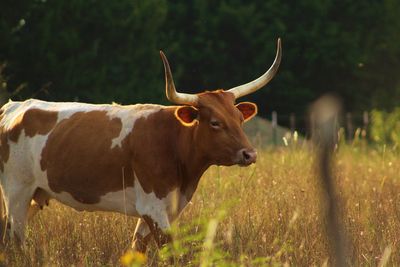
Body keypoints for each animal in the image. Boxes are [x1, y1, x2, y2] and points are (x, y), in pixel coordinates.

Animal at [0, 39, 282, 251]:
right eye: (214, 122)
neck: (172, 142)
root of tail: (14, 106)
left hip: (36, 194)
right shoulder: (153, 208)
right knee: (15, 239)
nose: (249, 154)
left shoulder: (166, 209)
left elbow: (138, 249)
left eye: (239, 119)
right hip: (16, 191)